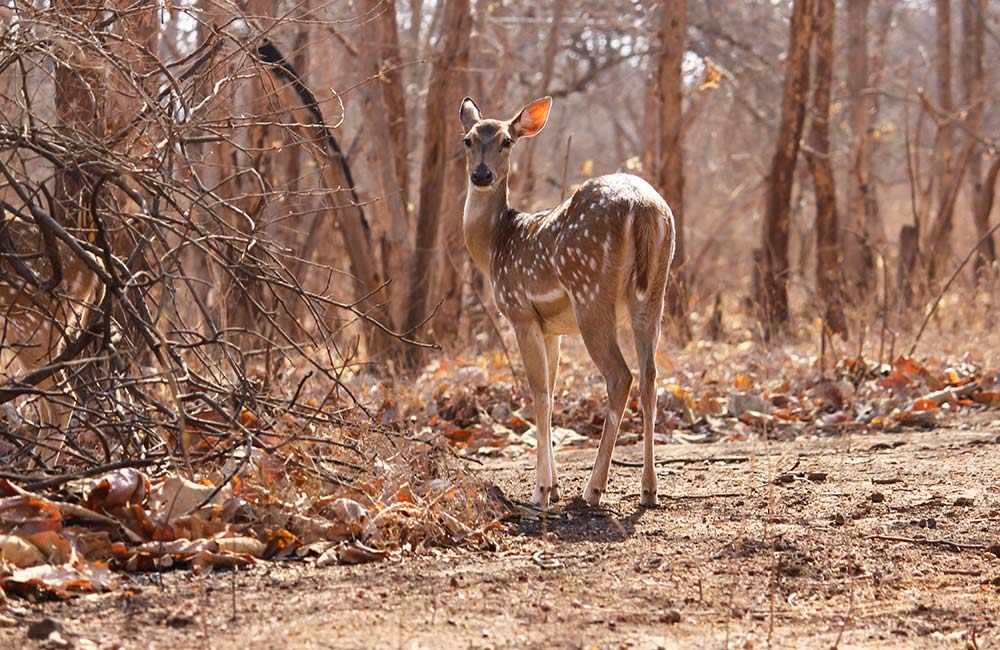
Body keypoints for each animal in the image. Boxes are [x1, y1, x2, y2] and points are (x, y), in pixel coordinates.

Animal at [464, 96, 676, 508]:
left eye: (507, 141)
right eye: (468, 140)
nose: (481, 175)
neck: (496, 244)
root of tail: (642, 206)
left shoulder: (521, 313)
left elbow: (539, 394)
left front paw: (542, 491)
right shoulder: (552, 328)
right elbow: (552, 387)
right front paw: (555, 485)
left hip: (590, 293)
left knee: (620, 376)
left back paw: (593, 489)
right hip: (654, 294)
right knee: (650, 376)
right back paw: (648, 490)